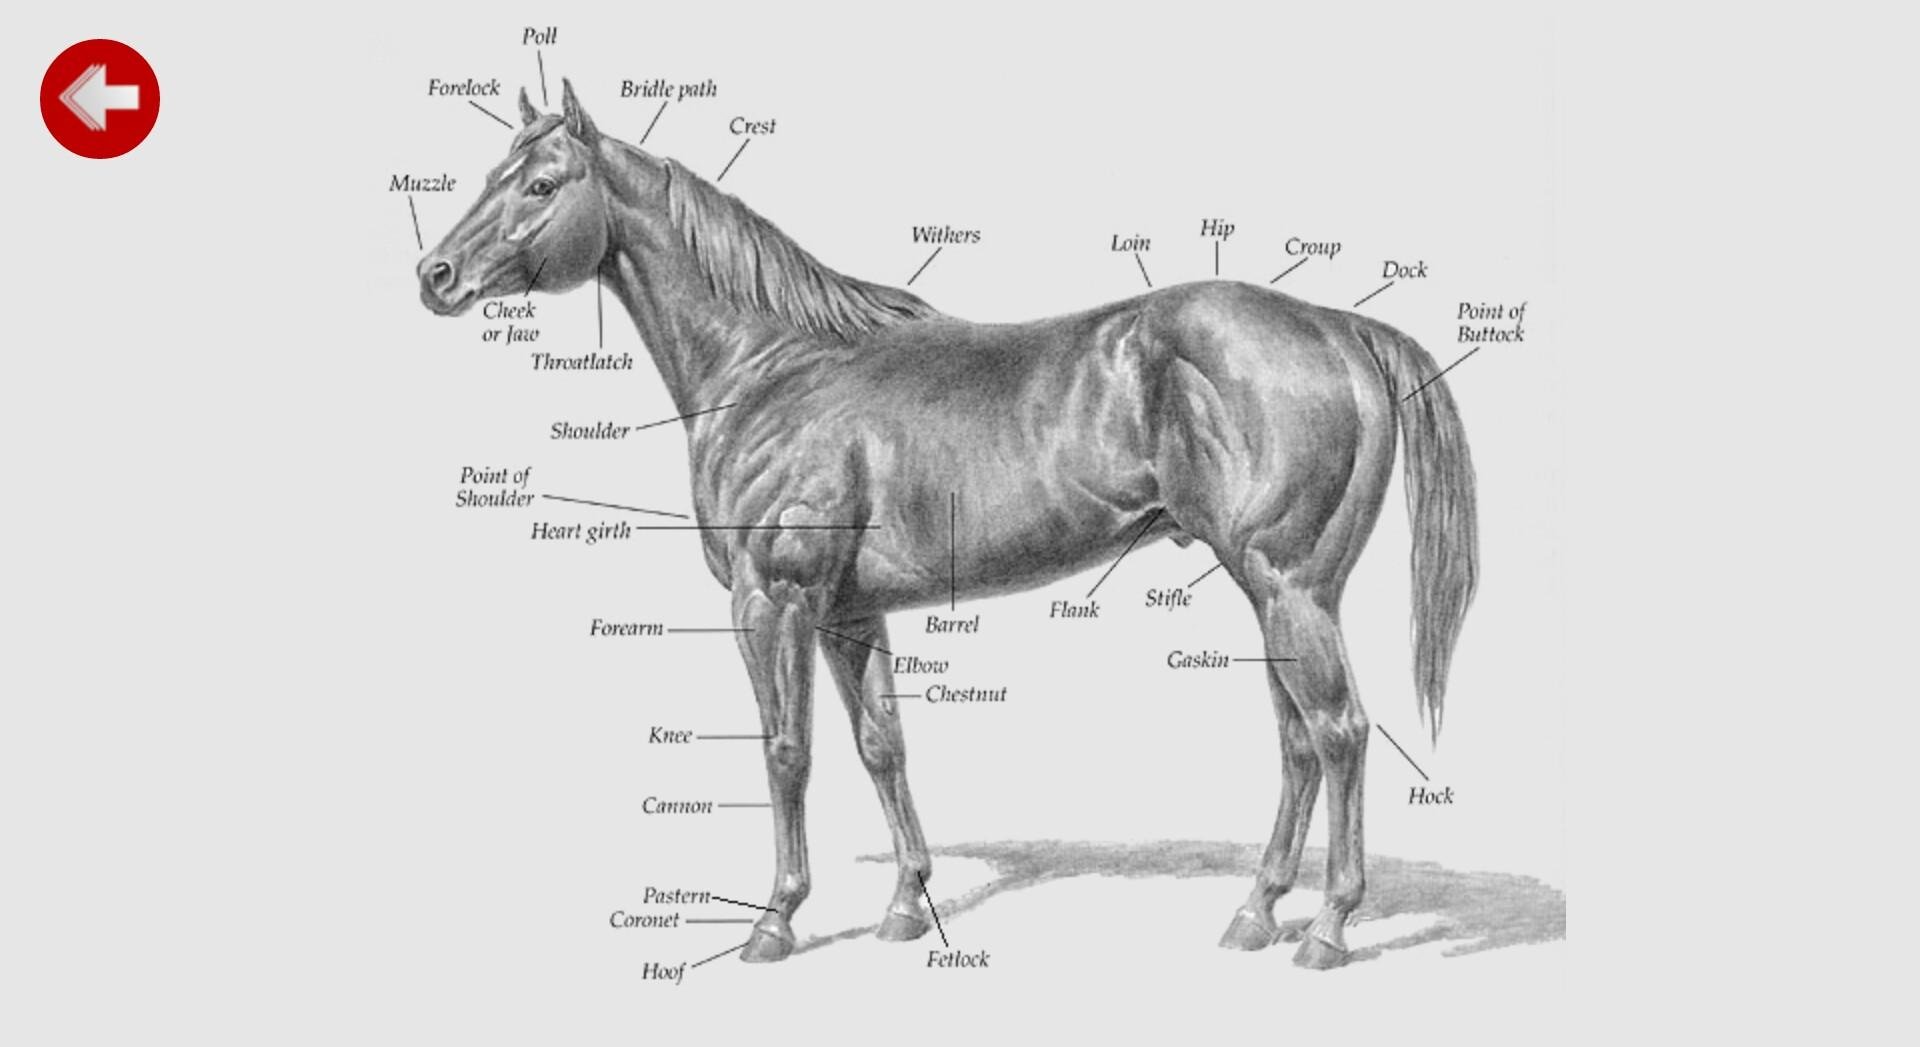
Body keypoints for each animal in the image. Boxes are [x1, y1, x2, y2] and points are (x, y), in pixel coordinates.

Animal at [417, 81, 1477, 970]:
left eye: (542, 182)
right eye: (490, 172)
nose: (436, 274)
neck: (773, 366)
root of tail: (1339, 328)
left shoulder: (774, 599)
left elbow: (786, 751)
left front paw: (775, 921)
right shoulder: (850, 611)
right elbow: (881, 744)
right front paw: (902, 905)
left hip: (1288, 585)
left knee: (1338, 732)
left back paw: (1329, 928)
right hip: (1277, 598)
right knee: (1297, 741)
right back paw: (1256, 912)